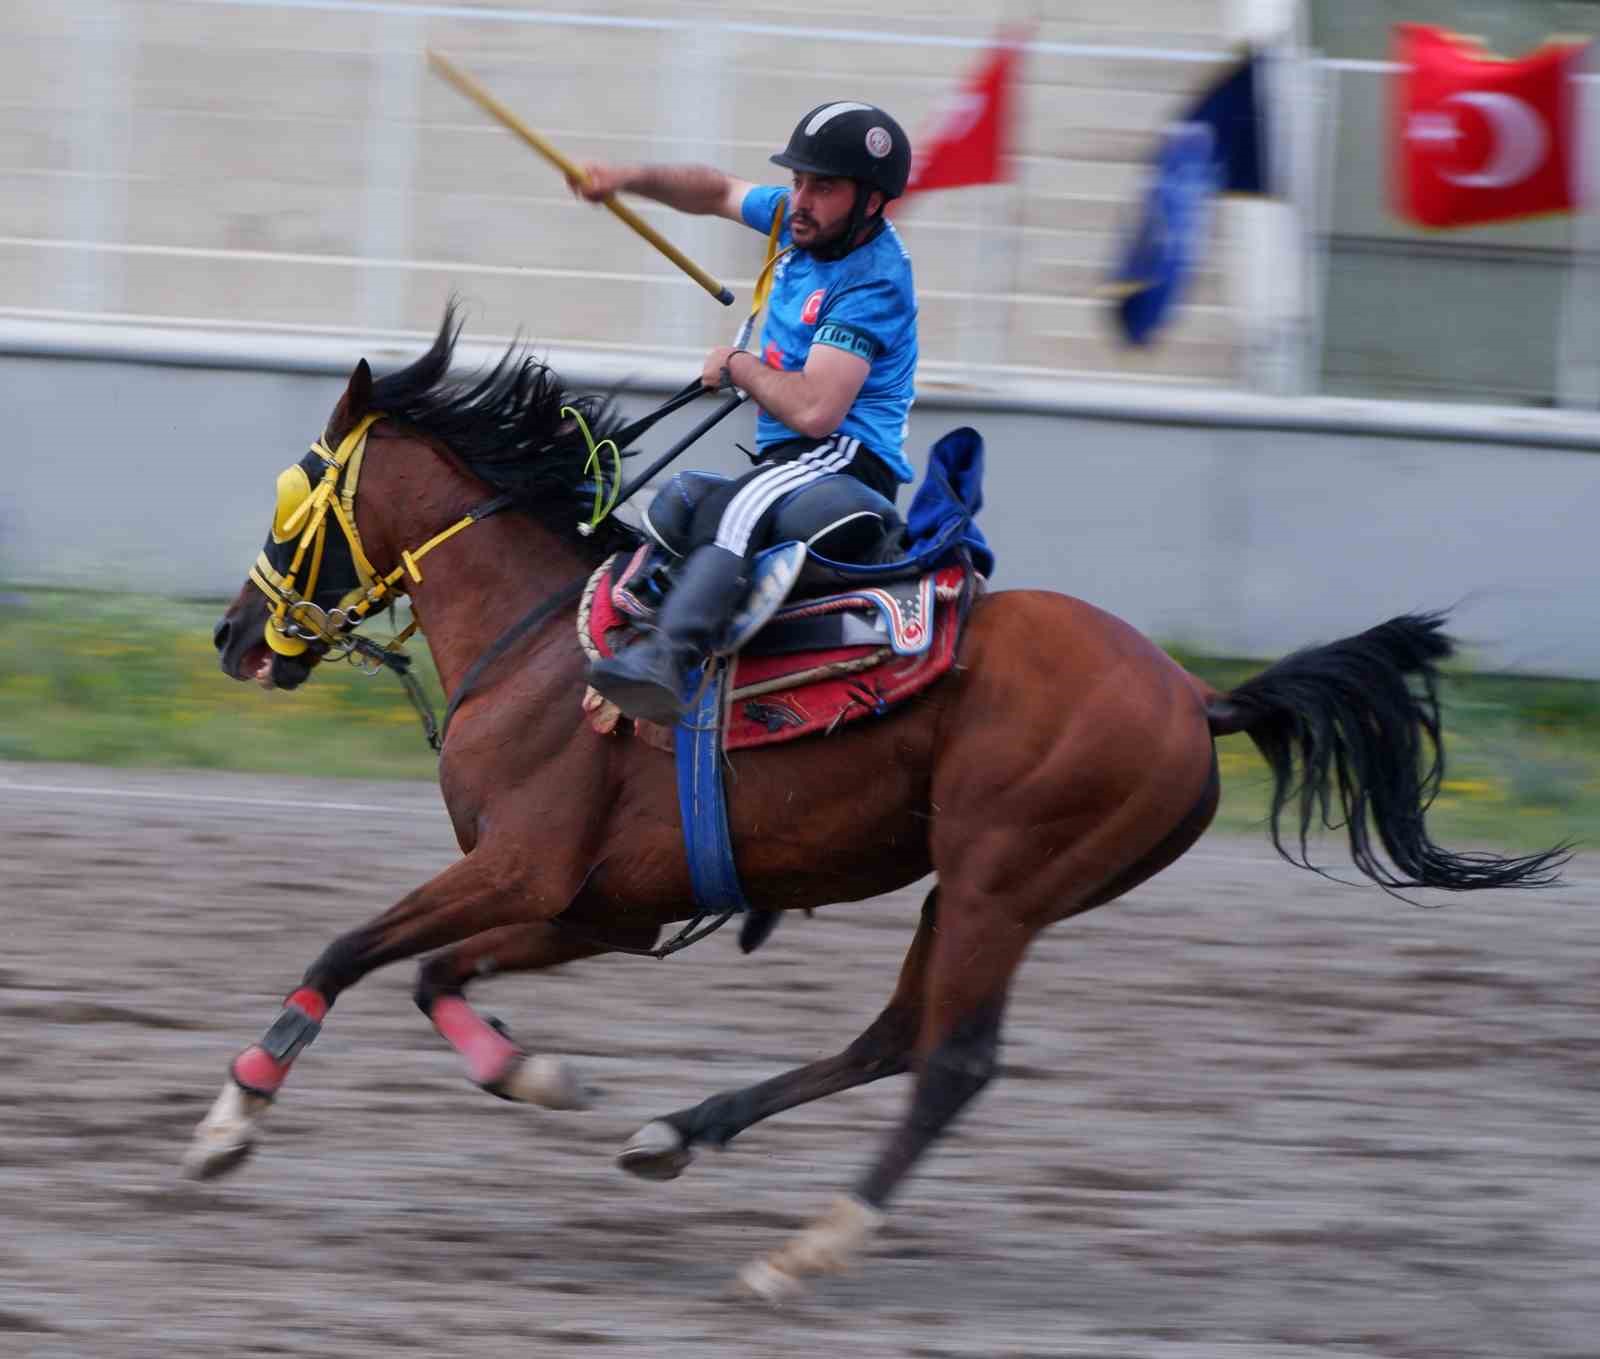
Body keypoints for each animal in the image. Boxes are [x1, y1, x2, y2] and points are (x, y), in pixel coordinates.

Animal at [187, 312, 1561, 1299]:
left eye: (295, 497)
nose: (235, 638)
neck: (540, 643)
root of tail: (1192, 694)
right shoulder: (594, 907)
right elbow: (432, 975)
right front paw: (538, 1077)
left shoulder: (523, 872)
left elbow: (350, 947)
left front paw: (228, 1123)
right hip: (967, 889)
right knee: (892, 1040)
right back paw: (679, 1132)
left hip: (1004, 881)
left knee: (948, 1062)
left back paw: (810, 1246)